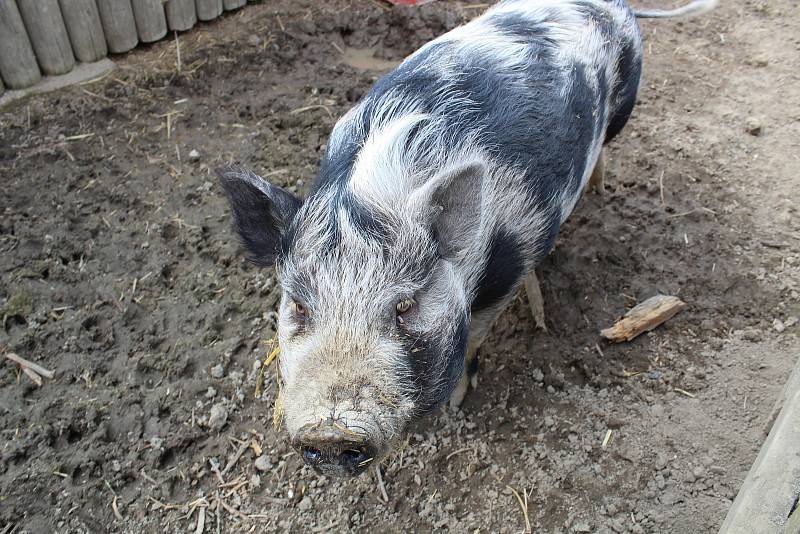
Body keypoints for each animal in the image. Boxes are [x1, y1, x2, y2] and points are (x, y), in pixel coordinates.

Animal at [217, 0, 712, 480]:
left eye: (405, 306)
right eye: (300, 306)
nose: (331, 433)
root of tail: (616, 6)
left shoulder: (515, 259)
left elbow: (474, 333)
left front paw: (456, 403)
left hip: (625, 108)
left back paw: (599, 189)